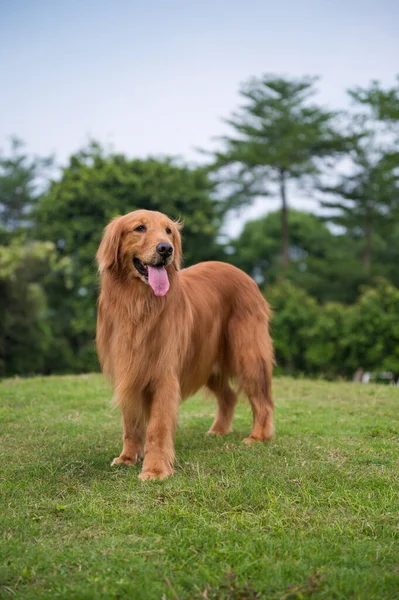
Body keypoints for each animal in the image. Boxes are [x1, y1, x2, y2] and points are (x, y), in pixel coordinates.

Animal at [97, 209, 276, 480]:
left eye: (168, 230)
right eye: (139, 228)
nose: (165, 249)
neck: (138, 305)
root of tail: (242, 273)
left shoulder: (164, 374)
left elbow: (158, 426)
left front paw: (155, 469)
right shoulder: (127, 369)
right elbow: (131, 421)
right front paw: (128, 457)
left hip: (247, 353)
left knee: (261, 399)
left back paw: (258, 436)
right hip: (206, 362)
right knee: (230, 395)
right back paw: (219, 430)